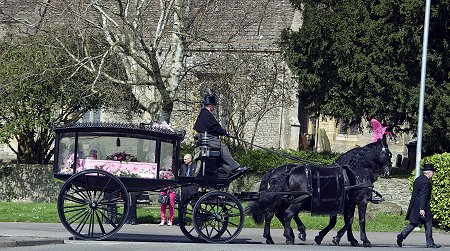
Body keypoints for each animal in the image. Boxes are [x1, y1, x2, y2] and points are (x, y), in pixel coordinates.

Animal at [248, 137, 392, 245]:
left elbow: (348, 220)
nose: (389, 170)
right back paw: (289, 236)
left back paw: (276, 236)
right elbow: (359, 220)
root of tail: (286, 172)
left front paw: (342, 238)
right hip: (297, 200)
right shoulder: (361, 201)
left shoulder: (347, 203)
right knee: (286, 214)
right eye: (389, 154)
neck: (356, 172)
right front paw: (364, 240)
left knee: (274, 214)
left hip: (287, 200)